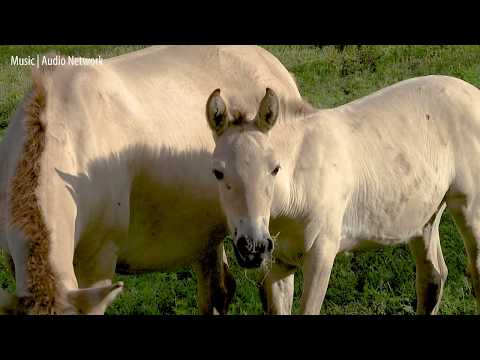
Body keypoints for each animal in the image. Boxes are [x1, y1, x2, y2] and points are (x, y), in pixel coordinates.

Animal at [205, 74, 480, 314]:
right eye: (217, 173)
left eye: (274, 168)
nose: (253, 247)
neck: (300, 182)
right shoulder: (278, 266)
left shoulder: (321, 256)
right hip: (425, 217)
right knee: (432, 279)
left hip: (469, 209)